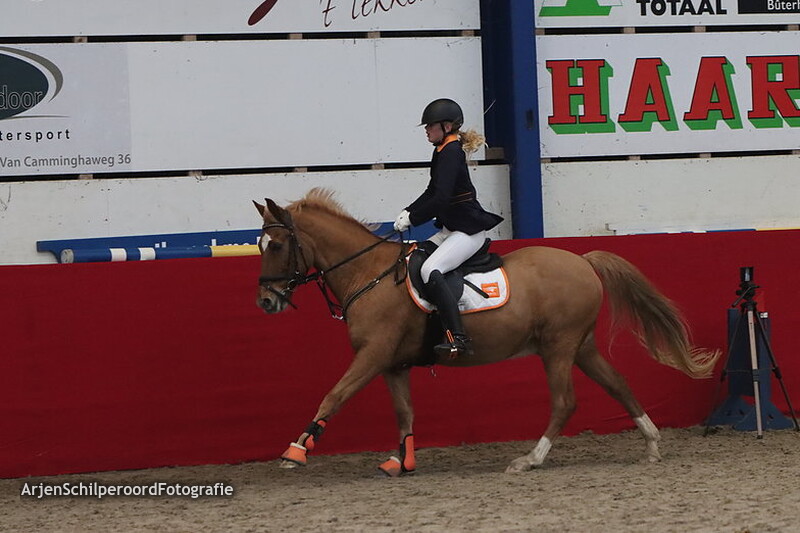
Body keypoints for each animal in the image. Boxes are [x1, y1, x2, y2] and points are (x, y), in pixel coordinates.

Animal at [253, 188, 720, 476]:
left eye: (276, 245)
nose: (266, 303)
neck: (368, 273)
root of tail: (583, 261)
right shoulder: (393, 365)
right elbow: (405, 414)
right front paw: (401, 462)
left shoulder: (373, 354)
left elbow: (334, 395)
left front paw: (295, 452)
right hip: (580, 346)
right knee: (618, 385)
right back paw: (652, 445)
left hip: (558, 347)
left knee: (565, 402)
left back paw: (529, 460)